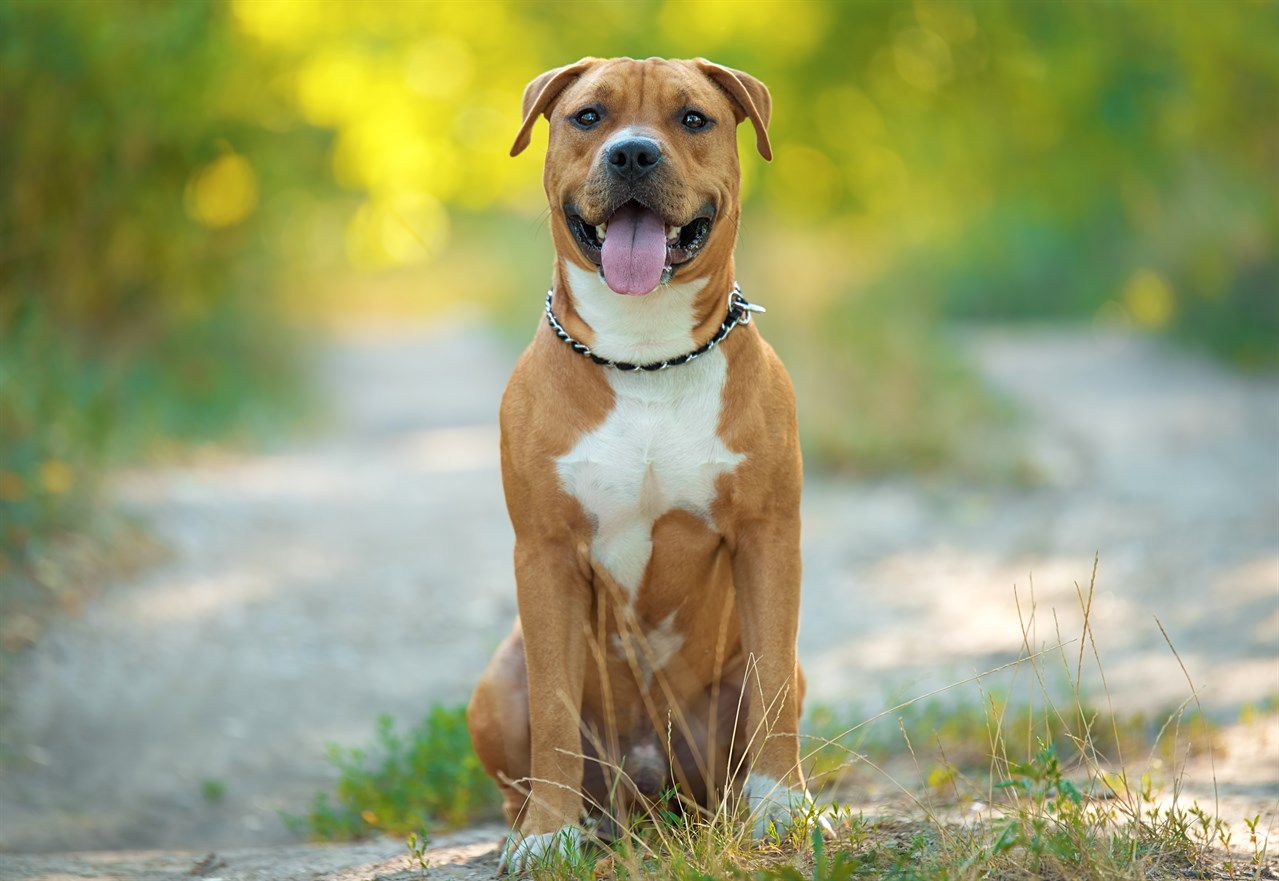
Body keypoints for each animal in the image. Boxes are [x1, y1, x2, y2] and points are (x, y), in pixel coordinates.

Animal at [470, 54, 818, 874]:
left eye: (692, 118)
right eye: (588, 116)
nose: (632, 153)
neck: (645, 353)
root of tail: (647, 779)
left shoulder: (768, 535)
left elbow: (769, 682)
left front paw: (782, 806)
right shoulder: (545, 553)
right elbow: (555, 711)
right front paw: (547, 833)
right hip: (495, 685)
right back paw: (543, 821)